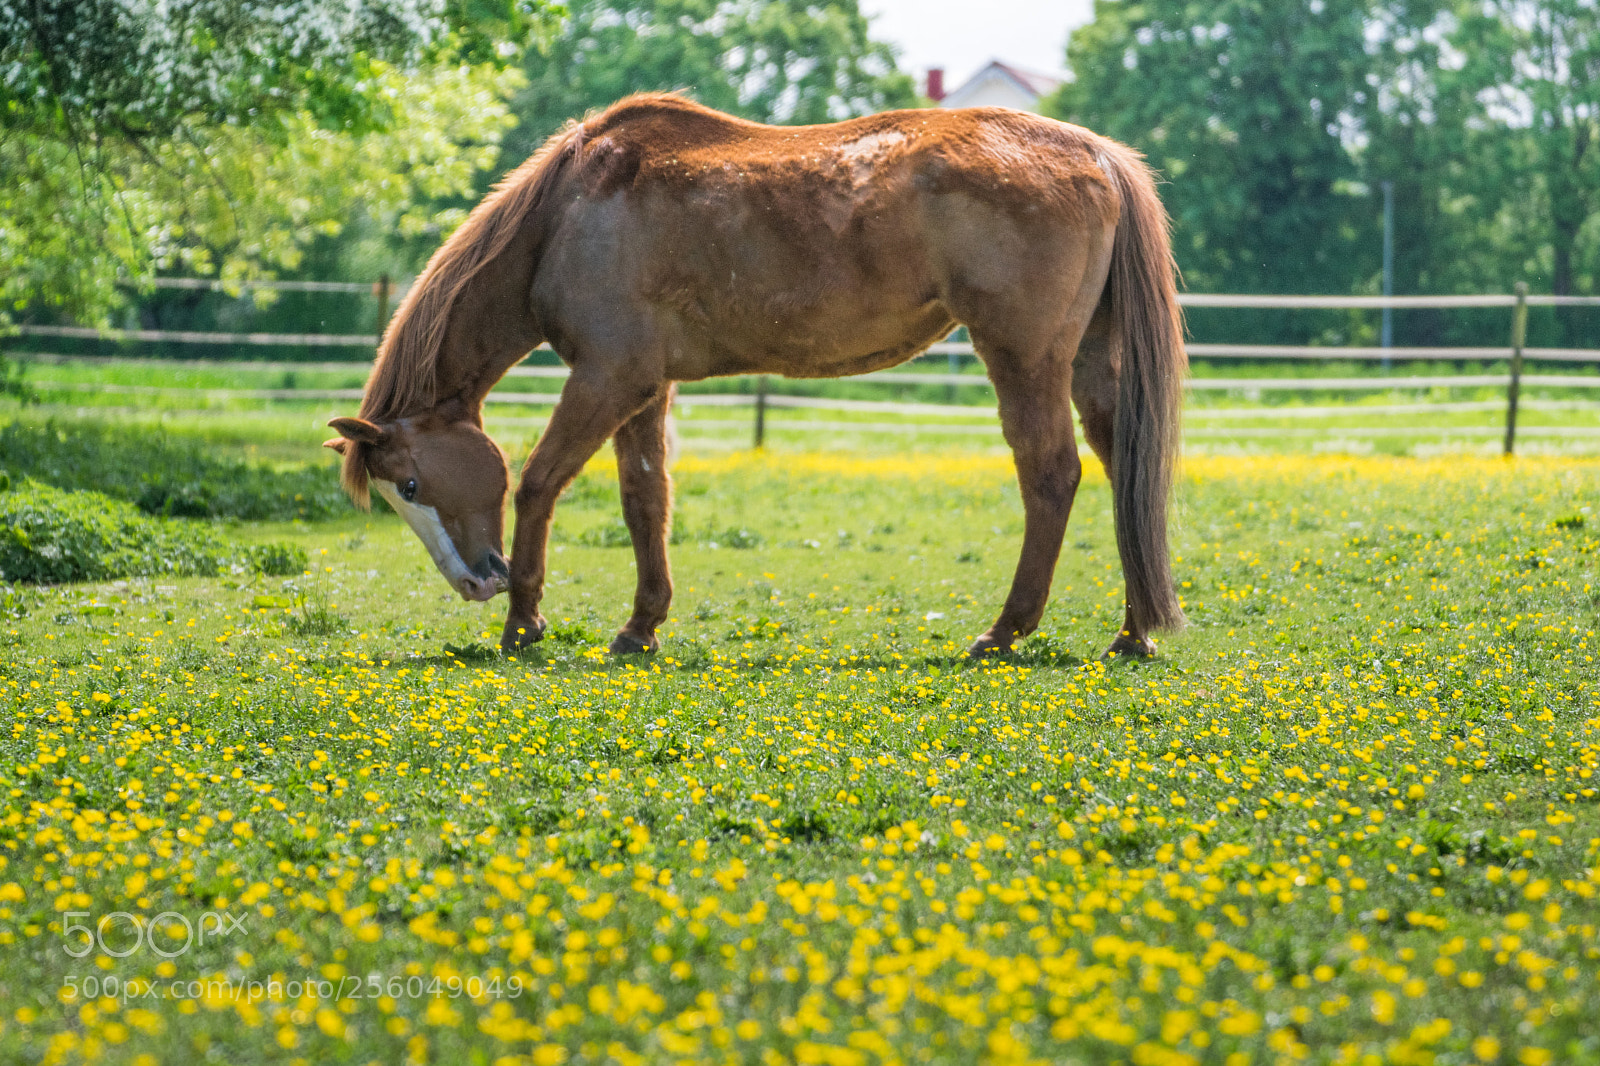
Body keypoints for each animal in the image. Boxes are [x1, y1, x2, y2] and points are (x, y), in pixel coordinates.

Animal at [324, 93, 1187, 660]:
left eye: (410, 484)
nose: (476, 582)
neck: (568, 214)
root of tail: (1094, 152)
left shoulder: (604, 379)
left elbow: (540, 481)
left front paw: (525, 622)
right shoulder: (645, 389)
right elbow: (645, 502)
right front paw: (640, 626)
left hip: (1023, 359)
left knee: (1051, 475)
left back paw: (1006, 632)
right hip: (1090, 363)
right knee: (1124, 470)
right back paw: (1131, 632)